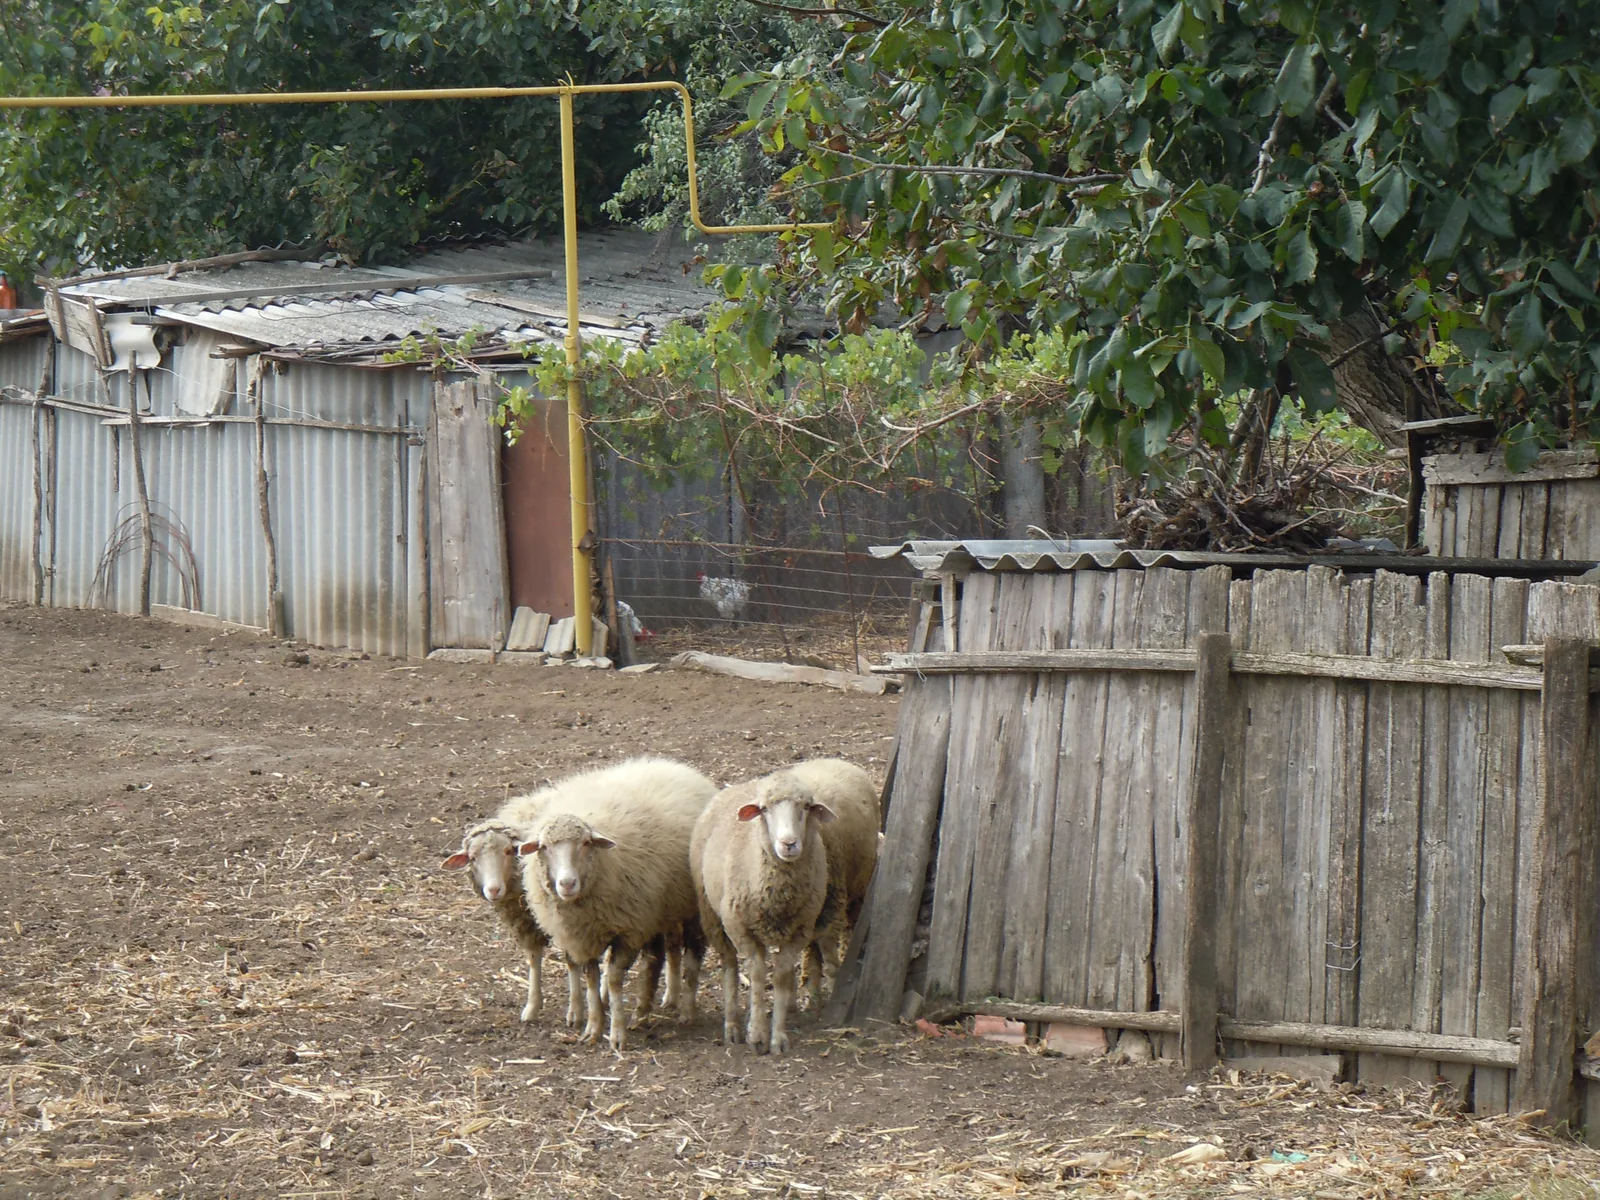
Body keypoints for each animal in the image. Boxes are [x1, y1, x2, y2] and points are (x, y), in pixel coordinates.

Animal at [516, 757, 714, 1051]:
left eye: (586, 843)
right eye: (544, 847)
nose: (567, 883)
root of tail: (679, 767)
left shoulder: (629, 931)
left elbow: (612, 979)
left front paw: (617, 1034)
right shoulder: (584, 938)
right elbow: (591, 979)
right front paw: (594, 1027)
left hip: (689, 907)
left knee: (692, 953)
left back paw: (685, 1012)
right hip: (658, 909)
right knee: (658, 958)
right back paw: (644, 1012)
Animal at [692, 758, 880, 1054]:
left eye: (805, 807)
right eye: (764, 810)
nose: (788, 843)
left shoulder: (802, 927)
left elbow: (781, 975)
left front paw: (778, 1036)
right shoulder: (741, 929)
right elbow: (758, 975)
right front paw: (757, 1034)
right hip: (712, 917)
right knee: (730, 966)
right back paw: (732, 1025)